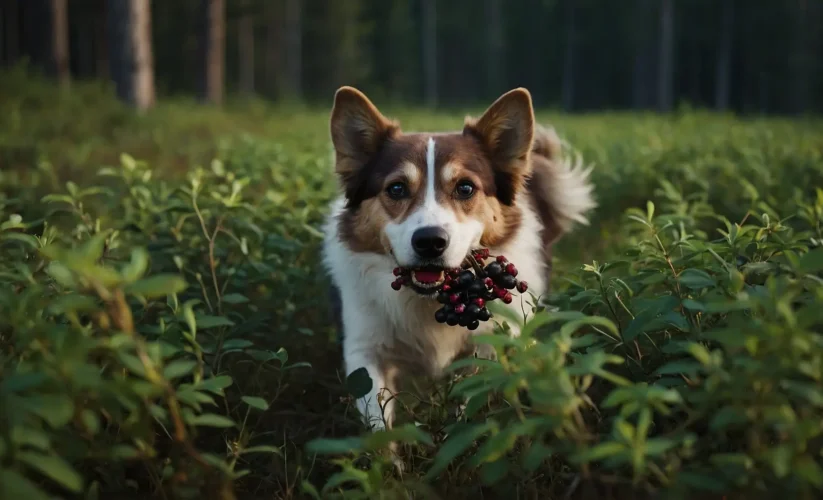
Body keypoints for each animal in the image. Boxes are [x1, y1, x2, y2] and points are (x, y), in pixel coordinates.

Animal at [322, 86, 600, 434]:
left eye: (465, 188)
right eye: (396, 188)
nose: (430, 241)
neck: (429, 300)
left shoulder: (489, 345)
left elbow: (473, 400)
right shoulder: (364, 348)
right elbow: (377, 421)